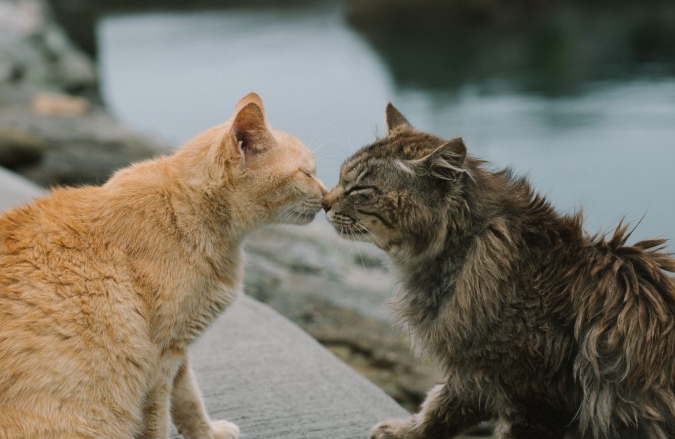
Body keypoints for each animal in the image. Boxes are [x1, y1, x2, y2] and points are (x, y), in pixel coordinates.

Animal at [0, 93, 328, 439]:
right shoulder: (160, 358)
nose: (325, 196)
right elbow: (159, 419)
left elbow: (189, 402)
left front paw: (209, 433)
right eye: (307, 173)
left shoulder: (178, 350)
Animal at [322, 104, 675, 439]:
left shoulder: (534, 400)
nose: (324, 202)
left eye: (360, 189)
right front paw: (405, 431)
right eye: (341, 177)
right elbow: (437, 409)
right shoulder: (473, 373)